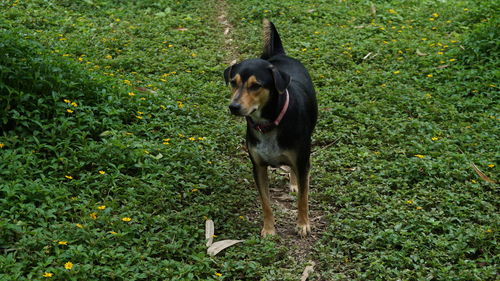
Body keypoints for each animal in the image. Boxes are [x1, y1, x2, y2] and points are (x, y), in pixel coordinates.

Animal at [223, 18, 316, 235]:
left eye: (256, 85)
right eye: (233, 82)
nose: (233, 107)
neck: (269, 124)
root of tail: (279, 55)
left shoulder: (302, 162)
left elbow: (303, 198)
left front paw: (303, 224)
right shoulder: (258, 167)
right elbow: (265, 202)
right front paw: (269, 229)